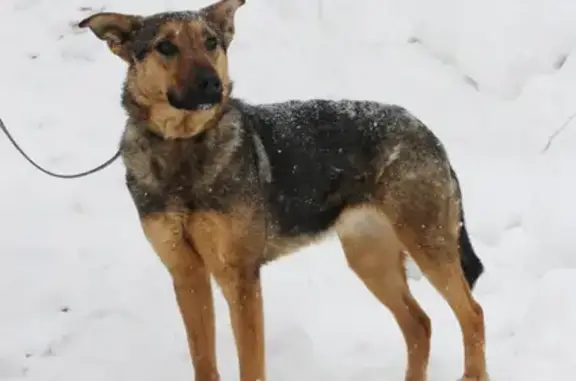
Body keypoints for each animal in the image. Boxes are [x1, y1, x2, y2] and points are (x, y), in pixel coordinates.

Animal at [79, 0, 488, 380]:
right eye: (166, 47)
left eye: (211, 43)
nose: (212, 84)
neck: (184, 145)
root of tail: (426, 130)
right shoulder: (185, 272)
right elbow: (203, 360)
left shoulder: (239, 276)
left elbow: (251, 363)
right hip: (369, 254)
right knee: (419, 324)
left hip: (426, 242)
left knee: (472, 314)